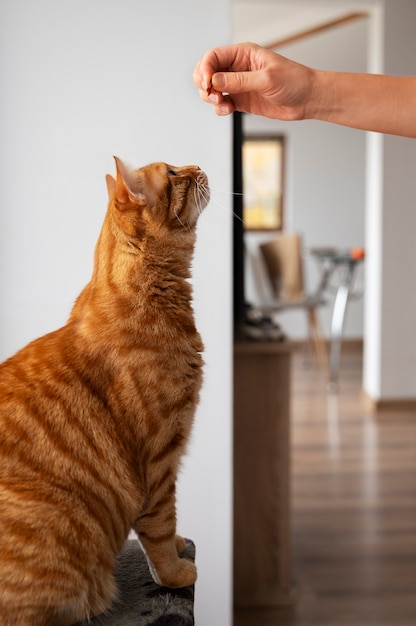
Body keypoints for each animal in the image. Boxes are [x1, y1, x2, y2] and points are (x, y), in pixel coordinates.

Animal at [0, 157, 208, 624]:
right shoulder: (158, 459)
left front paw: (181, 546)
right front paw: (176, 573)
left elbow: (169, 525)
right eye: (173, 173)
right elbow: (160, 526)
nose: (199, 166)